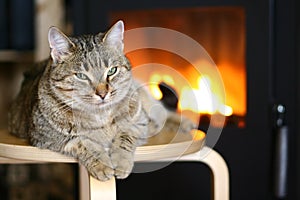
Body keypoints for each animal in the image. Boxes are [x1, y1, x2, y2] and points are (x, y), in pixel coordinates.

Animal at [8, 20, 196, 181]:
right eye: (81, 76)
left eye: (112, 71)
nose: (103, 93)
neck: (100, 115)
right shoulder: (48, 138)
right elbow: (83, 143)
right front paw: (102, 164)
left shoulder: (138, 123)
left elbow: (125, 137)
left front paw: (120, 162)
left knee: (162, 112)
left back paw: (186, 123)